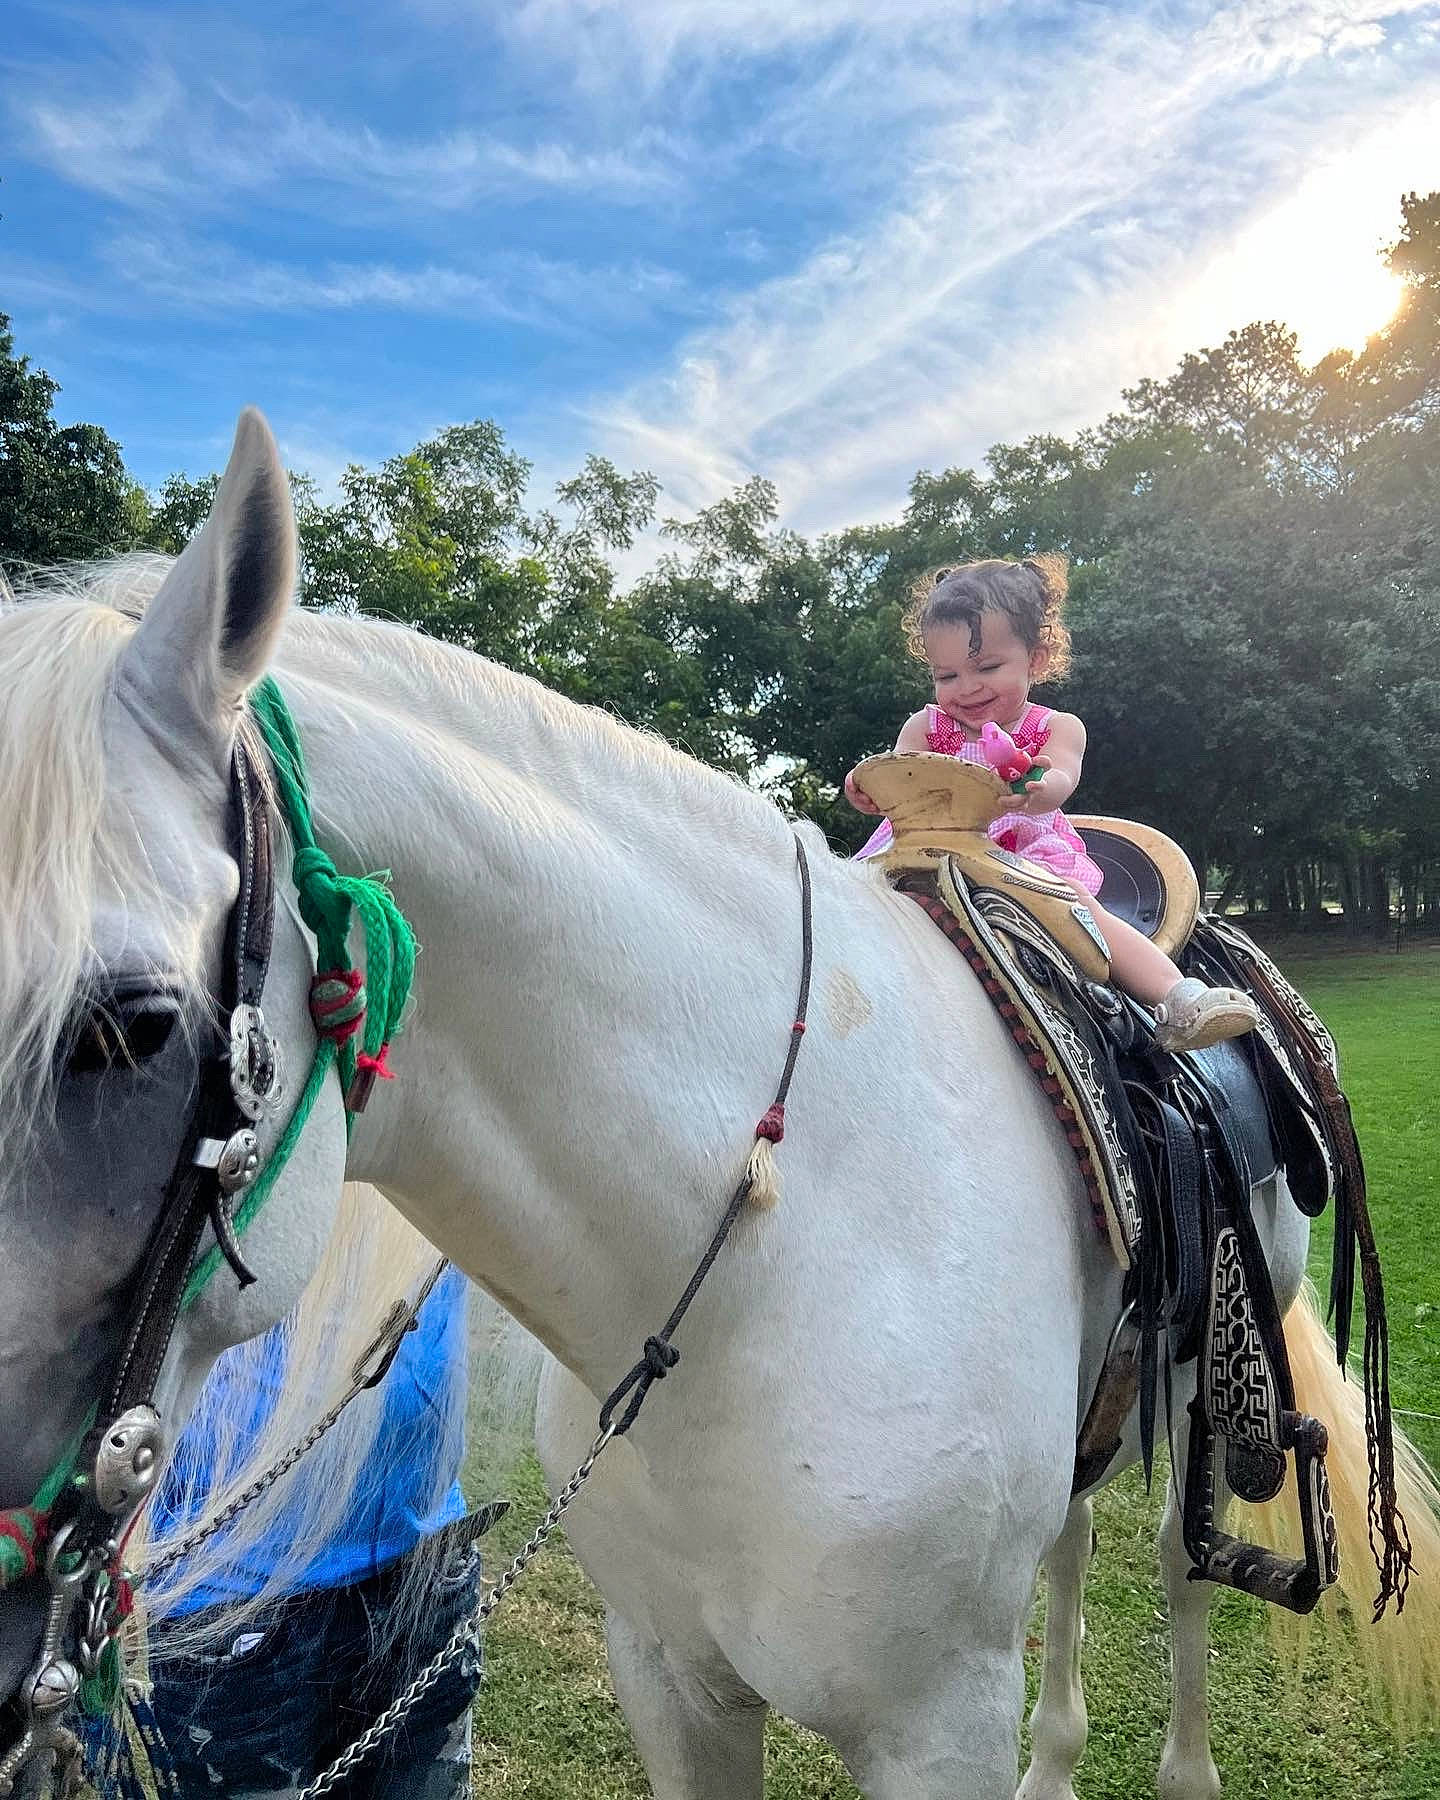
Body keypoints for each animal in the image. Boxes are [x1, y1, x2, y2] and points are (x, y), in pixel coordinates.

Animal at [2, 410, 1437, 1800]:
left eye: (128, 1028)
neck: (763, 1271)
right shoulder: (669, 1680)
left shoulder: (938, 1726)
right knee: (1079, 1530)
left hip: (1218, 1353)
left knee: (1185, 1560)